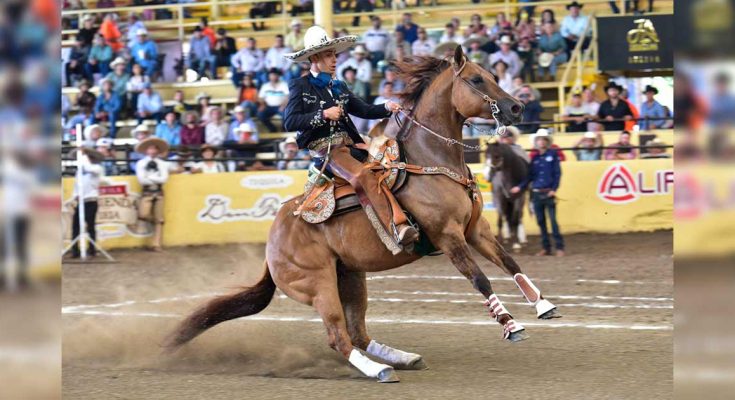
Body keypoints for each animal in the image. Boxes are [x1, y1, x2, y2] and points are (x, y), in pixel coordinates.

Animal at [164, 47, 560, 384]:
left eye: (493, 74)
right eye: (477, 80)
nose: (516, 108)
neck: (430, 161)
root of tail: (273, 237)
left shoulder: (477, 228)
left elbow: (509, 263)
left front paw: (544, 305)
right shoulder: (449, 236)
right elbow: (480, 279)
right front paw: (510, 325)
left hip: (351, 276)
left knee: (358, 333)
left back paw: (401, 358)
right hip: (319, 284)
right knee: (338, 336)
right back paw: (378, 370)